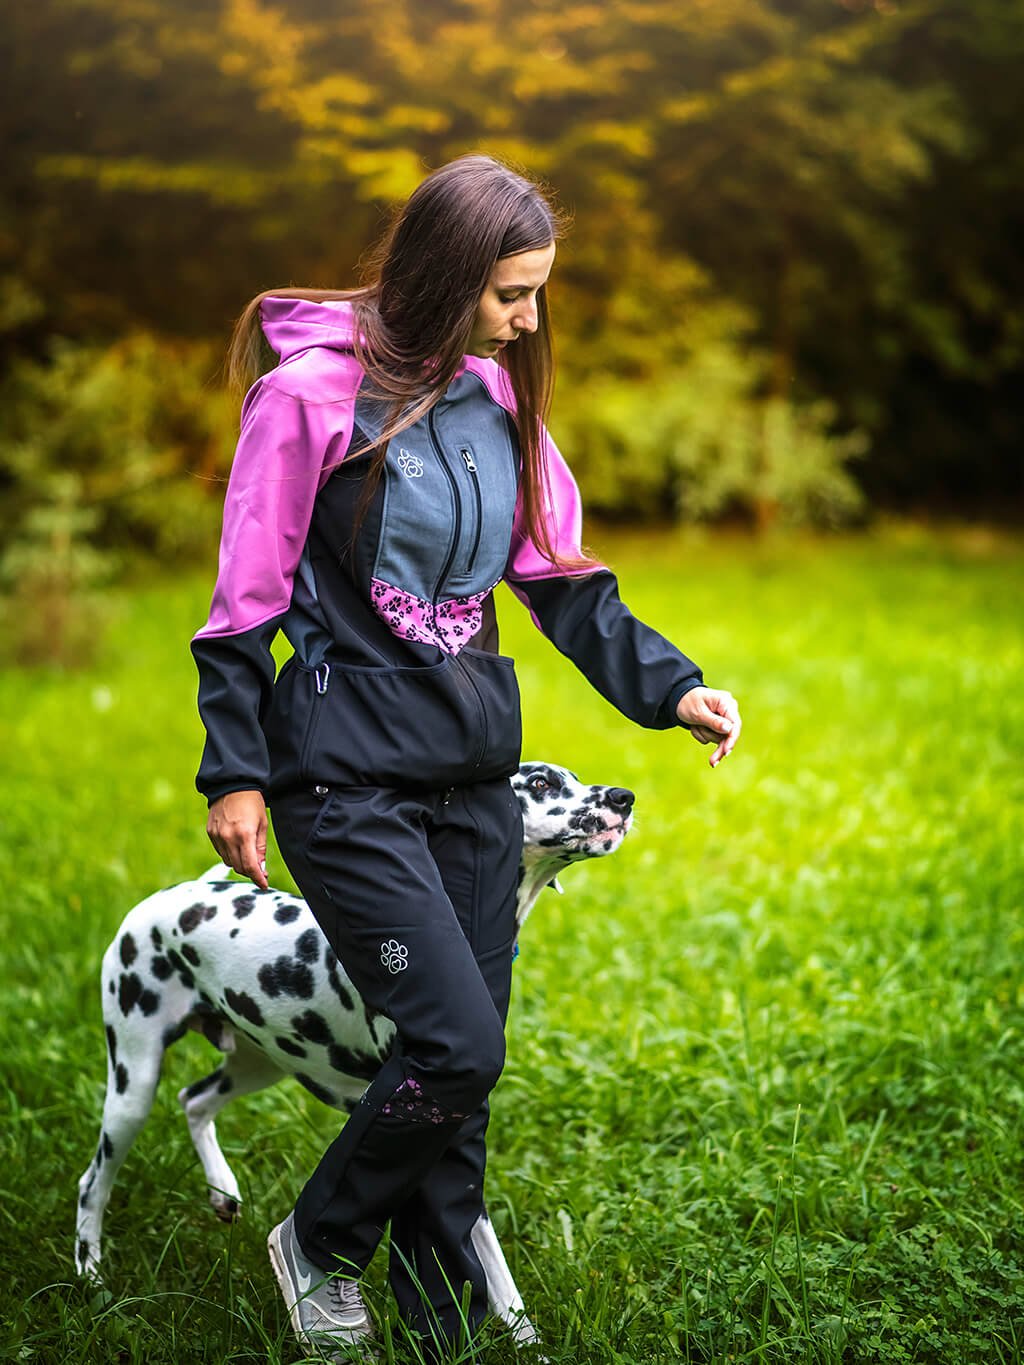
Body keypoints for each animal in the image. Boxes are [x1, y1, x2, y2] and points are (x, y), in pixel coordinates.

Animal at [74, 764, 633, 1348]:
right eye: (541, 784)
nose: (624, 797)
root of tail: (180, 893)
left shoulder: (457, 1129)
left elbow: (498, 1275)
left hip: (258, 1063)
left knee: (195, 1099)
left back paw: (221, 1190)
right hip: (133, 1084)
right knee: (93, 1184)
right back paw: (92, 1279)